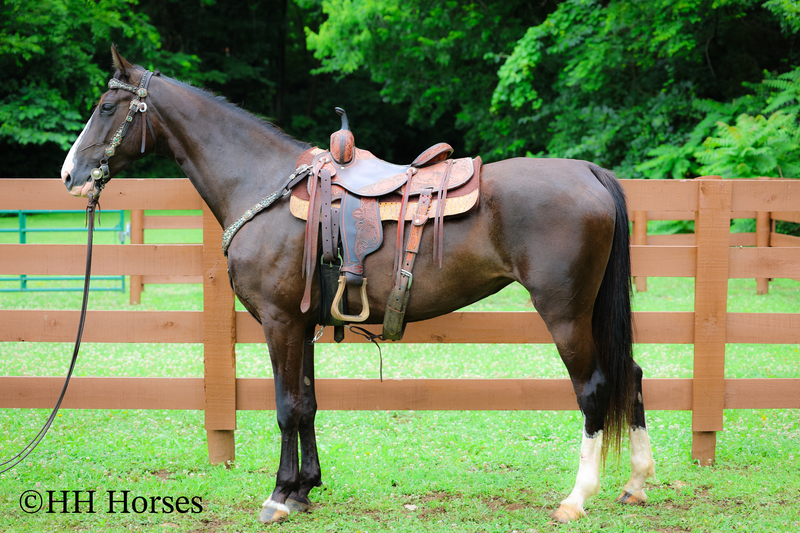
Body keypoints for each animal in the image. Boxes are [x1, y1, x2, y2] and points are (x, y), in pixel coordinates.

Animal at [60, 47, 655, 524]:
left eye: (107, 107)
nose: (68, 175)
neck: (262, 184)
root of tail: (589, 172)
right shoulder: (302, 323)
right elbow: (306, 402)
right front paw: (303, 490)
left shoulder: (279, 322)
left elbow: (285, 405)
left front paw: (278, 496)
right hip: (590, 312)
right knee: (631, 374)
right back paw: (635, 483)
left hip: (565, 313)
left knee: (595, 387)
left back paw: (577, 498)